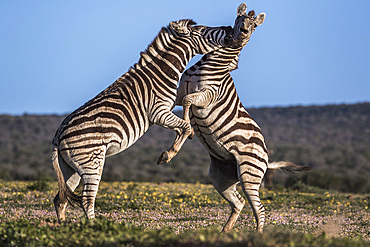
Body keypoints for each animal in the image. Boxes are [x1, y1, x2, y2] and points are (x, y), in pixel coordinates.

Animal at [51, 17, 234, 222]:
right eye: (202, 30)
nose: (229, 28)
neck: (163, 72)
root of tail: (58, 137)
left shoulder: (167, 110)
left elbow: (184, 123)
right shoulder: (158, 112)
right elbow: (185, 126)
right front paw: (168, 154)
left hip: (71, 167)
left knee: (61, 199)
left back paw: (64, 227)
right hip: (92, 163)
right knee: (86, 200)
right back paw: (93, 226)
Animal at [160, 2, 310, 233]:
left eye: (254, 26)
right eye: (238, 21)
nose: (243, 33)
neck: (214, 64)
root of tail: (267, 157)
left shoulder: (207, 96)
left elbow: (187, 102)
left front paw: (184, 137)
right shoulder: (180, 91)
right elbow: (177, 102)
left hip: (250, 174)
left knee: (260, 209)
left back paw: (256, 236)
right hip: (221, 177)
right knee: (238, 203)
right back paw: (224, 234)